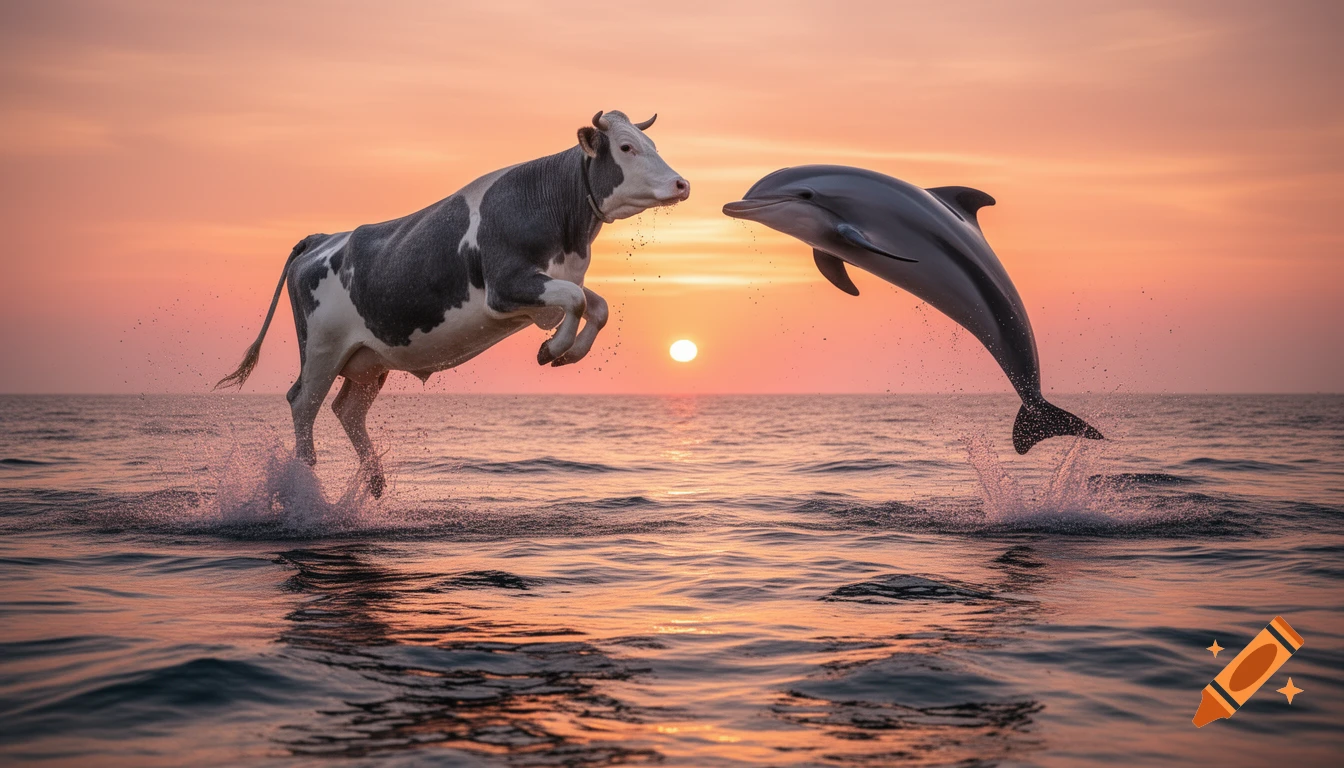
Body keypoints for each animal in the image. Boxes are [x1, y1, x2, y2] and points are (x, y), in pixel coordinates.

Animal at [215, 110, 689, 497]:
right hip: (320, 348)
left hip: (368, 359)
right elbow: (576, 301)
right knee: (302, 402)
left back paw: (373, 481)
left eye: (652, 145)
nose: (682, 183)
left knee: (346, 409)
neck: (555, 212)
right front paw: (553, 348)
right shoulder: (506, 287)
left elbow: (597, 306)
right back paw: (305, 484)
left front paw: (566, 351)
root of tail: (322, 238)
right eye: (626, 147)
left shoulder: (549, 284)